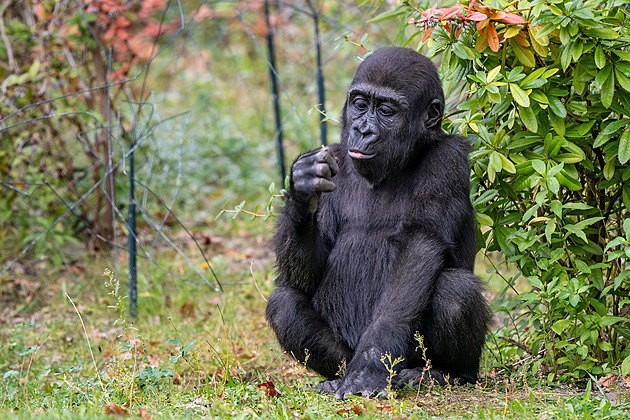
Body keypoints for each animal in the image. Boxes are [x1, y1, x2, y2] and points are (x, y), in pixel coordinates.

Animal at [266, 47, 494, 398]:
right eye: (360, 104)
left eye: (386, 110)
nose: (363, 130)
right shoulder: (336, 155)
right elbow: (308, 273)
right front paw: (302, 188)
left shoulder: (449, 158)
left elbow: (420, 244)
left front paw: (369, 366)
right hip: (346, 350)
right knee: (284, 303)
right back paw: (337, 376)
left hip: (413, 361)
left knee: (456, 290)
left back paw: (446, 373)